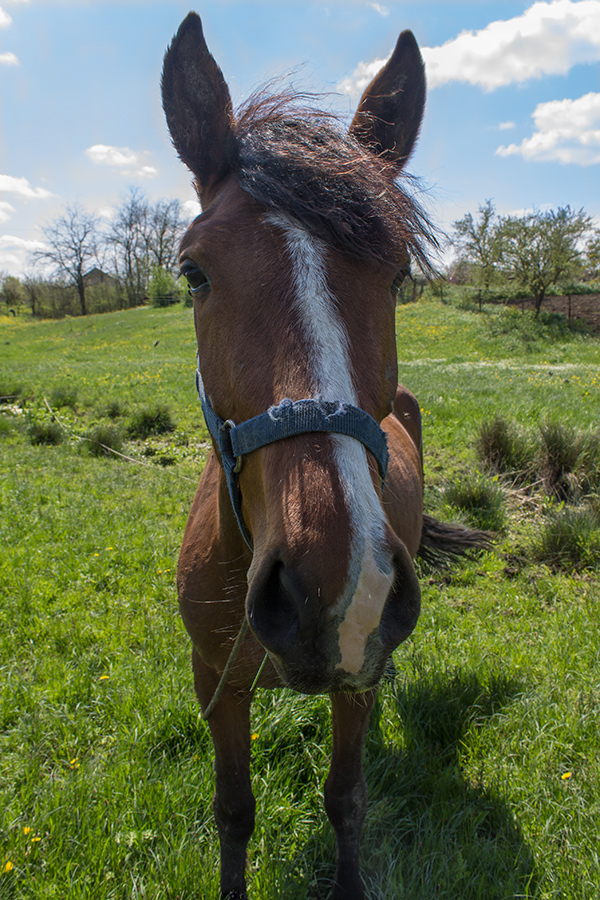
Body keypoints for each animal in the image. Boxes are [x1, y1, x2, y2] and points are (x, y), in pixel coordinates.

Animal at [161, 14, 488, 900]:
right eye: (192, 272)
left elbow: (346, 796)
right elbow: (232, 811)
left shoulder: (357, 681)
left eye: (400, 274)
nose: (334, 591)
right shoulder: (216, 684)